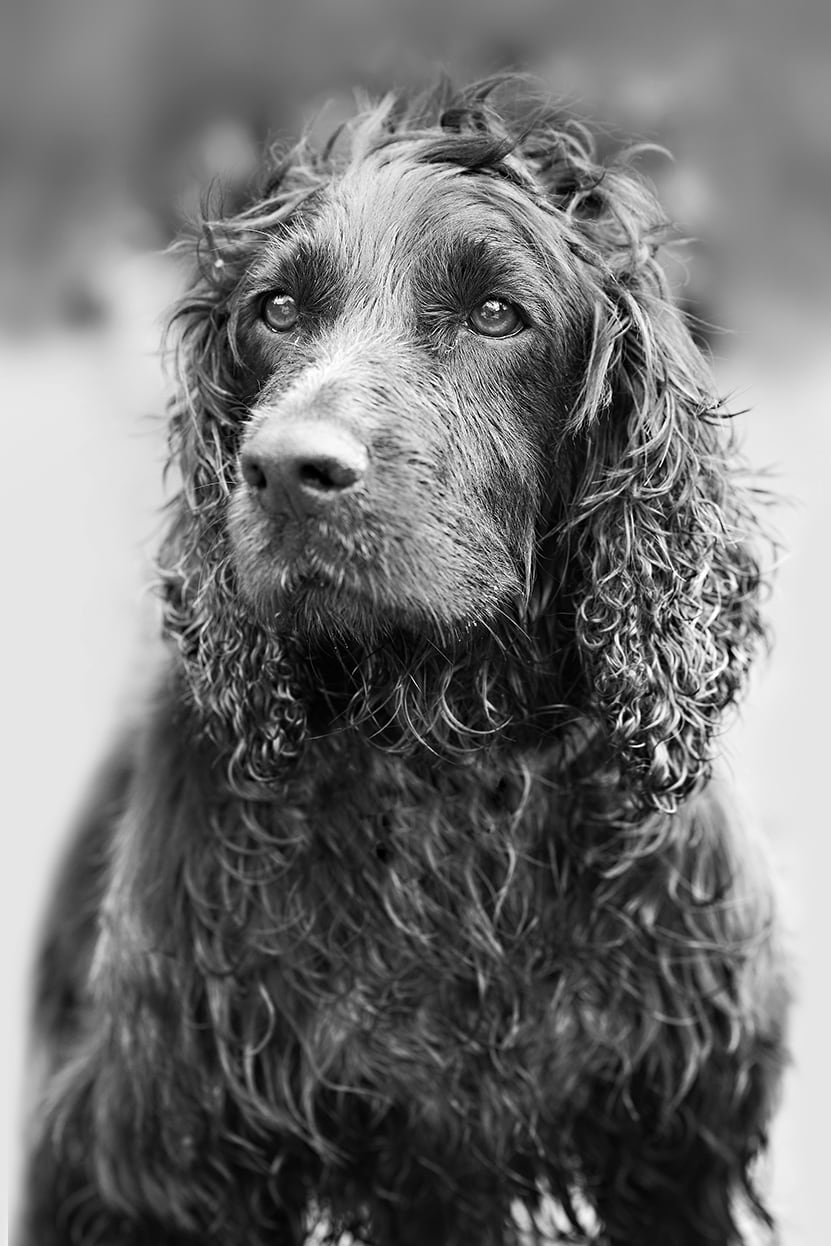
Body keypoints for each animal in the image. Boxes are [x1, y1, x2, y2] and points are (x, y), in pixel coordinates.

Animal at [19, 80, 787, 1246]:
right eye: (276, 310)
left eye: (495, 314)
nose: (286, 471)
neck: (443, 759)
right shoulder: (176, 1156)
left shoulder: (671, 1143)